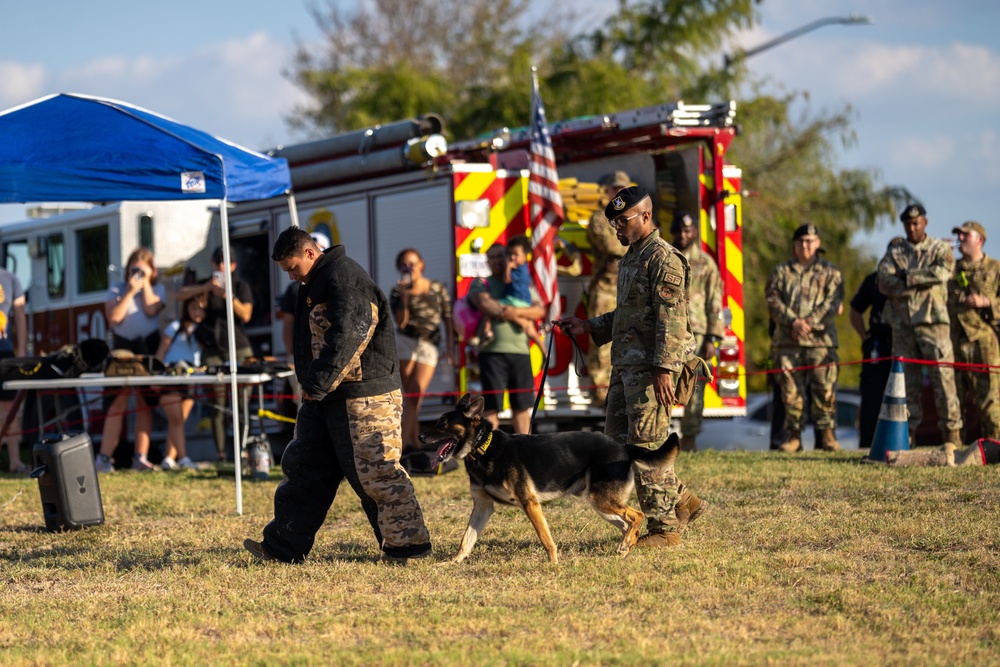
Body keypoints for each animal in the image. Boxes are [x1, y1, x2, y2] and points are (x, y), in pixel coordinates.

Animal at [418, 392, 684, 564]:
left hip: (602, 500)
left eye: (442, 424)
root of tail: (623, 446)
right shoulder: (483, 507)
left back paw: (626, 545)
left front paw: (553, 564)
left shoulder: (530, 503)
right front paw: (454, 562)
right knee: (628, 524)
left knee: (637, 516)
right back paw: (625, 548)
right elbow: (466, 539)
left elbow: (545, 538)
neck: (483, 448)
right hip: (601, 504)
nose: (420, 437)